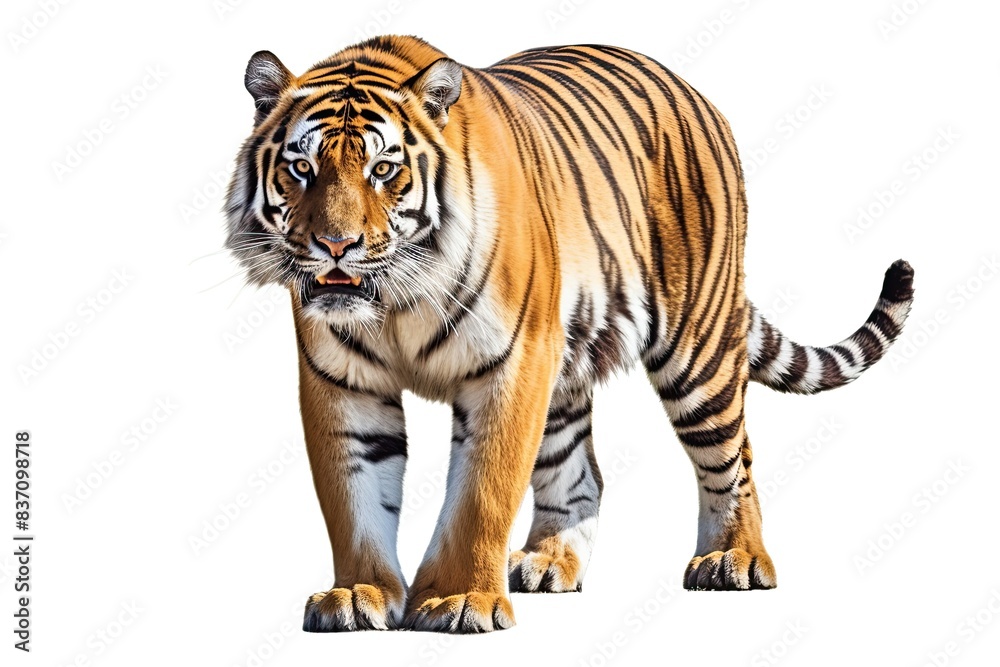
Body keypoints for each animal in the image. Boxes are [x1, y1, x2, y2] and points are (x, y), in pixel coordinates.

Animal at [224, 35, 915, 634]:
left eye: (384, 169)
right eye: (301, 168)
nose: (335, 245)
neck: (396, 301)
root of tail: (692, 90)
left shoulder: (511, 363)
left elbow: (482, 491)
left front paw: (458, 600)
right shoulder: (342, 382)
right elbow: (353, 498)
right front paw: (357, 595)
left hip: (696, 349)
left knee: (733, 457)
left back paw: (734, 560)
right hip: (566, 367)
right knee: (581, 473)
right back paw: (549, 561)